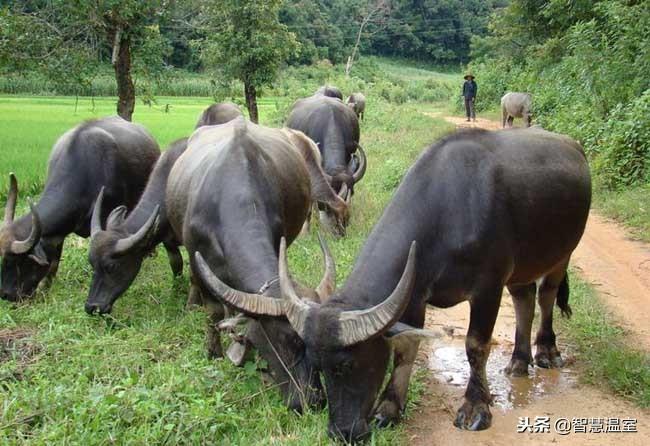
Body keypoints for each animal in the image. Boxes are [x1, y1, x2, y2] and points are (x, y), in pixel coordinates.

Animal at [82, 103, 242, 316]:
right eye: (92, 263)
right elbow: (176, 264)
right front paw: (175, 291)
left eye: (112, 266)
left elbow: (193, 272)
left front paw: (192, 303)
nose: (92, 307)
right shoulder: (168, 241)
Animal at [215, 127, 588, 440]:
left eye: (346, 365)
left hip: (562, 254)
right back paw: (519, 362)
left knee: (546, 296)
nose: (341, 433)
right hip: (523, 267)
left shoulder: (488, 287)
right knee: (524, 299)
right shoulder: (416, 293)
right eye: (315, 365)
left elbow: (475, 346)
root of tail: (573, 147)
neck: (450, 210)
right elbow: (406, 347)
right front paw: (389, 408)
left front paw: (475, 408)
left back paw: (547, 353)